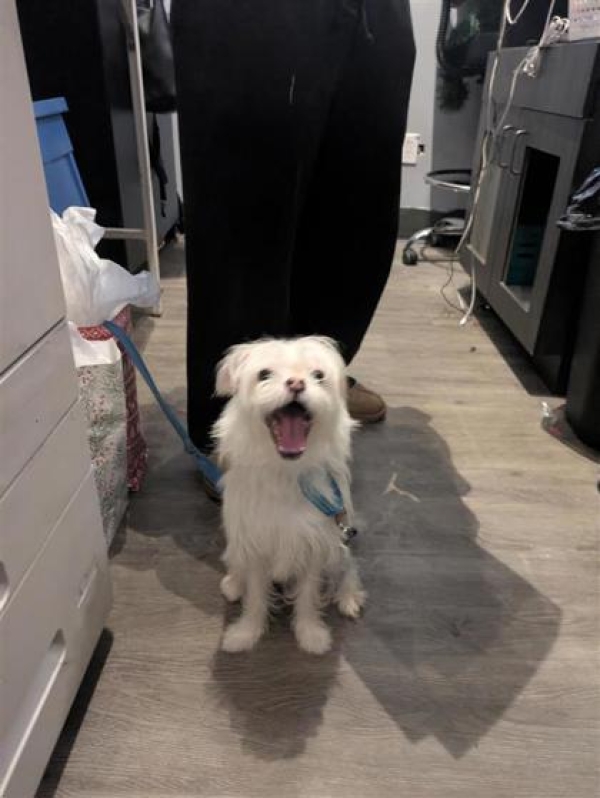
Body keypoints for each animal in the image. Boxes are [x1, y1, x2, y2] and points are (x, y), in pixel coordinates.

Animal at [213, 336, 366, 654]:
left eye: (318, 375)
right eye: (264, 374)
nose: (296, 383)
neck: (285, 472)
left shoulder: (315, 546)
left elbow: (307, 596)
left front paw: (311, 635)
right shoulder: (255, 545)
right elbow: (256, 597)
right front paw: (245, 634)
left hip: (339, 545)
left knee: (348, 568)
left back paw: (348, 597)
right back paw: (234, 583)